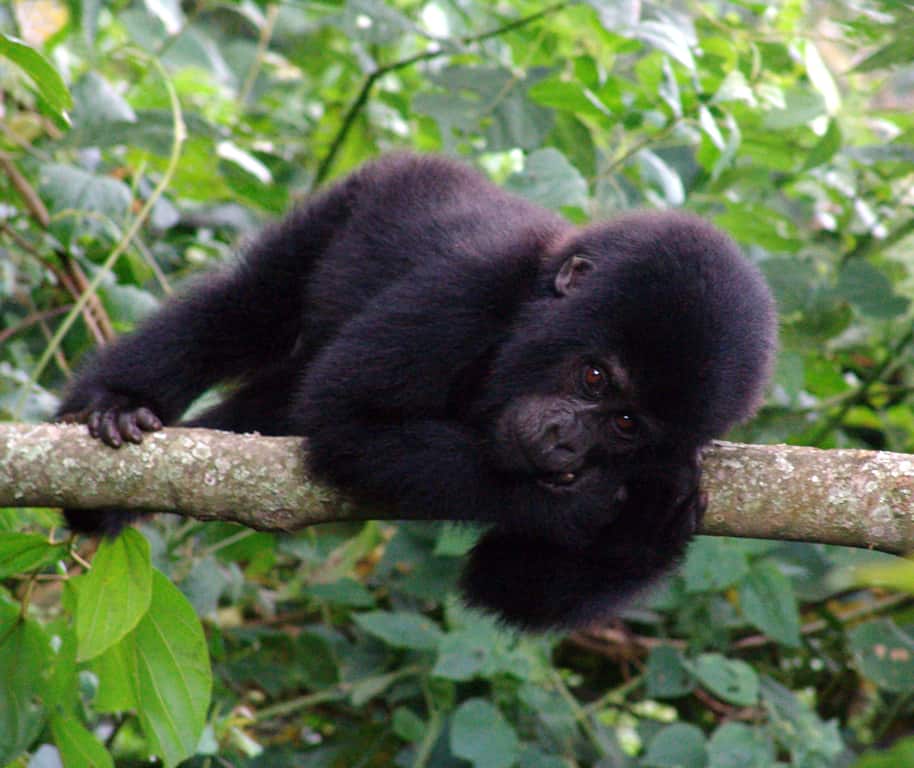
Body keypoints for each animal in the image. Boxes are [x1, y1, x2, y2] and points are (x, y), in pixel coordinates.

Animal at [58, 153, 776, 630]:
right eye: (594, 377)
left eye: (628, 426)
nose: (566, 440)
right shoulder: (468, 288)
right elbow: (346, 419)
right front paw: (576, 506)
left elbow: (506, 586)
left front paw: (649, 518)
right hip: (353, 199)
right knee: (250, 308)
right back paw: (113, 404)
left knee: (267, 401)